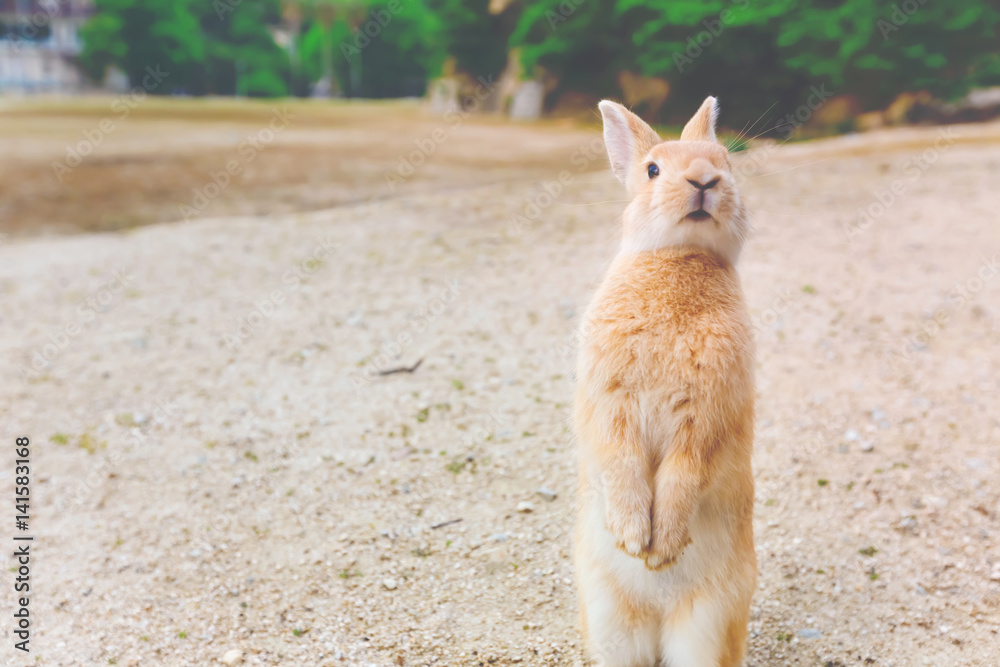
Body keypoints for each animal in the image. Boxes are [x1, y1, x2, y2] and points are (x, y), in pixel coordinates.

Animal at [576, 95, 752, 667]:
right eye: (653, 170)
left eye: (727, 161)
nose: (704, 179)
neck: (681, 257)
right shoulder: (608, 400)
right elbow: (621, 458)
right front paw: (636, 541)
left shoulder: (709, 415)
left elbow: (685, 471)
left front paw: (663, 547)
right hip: (608, 615)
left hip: (707, 624)